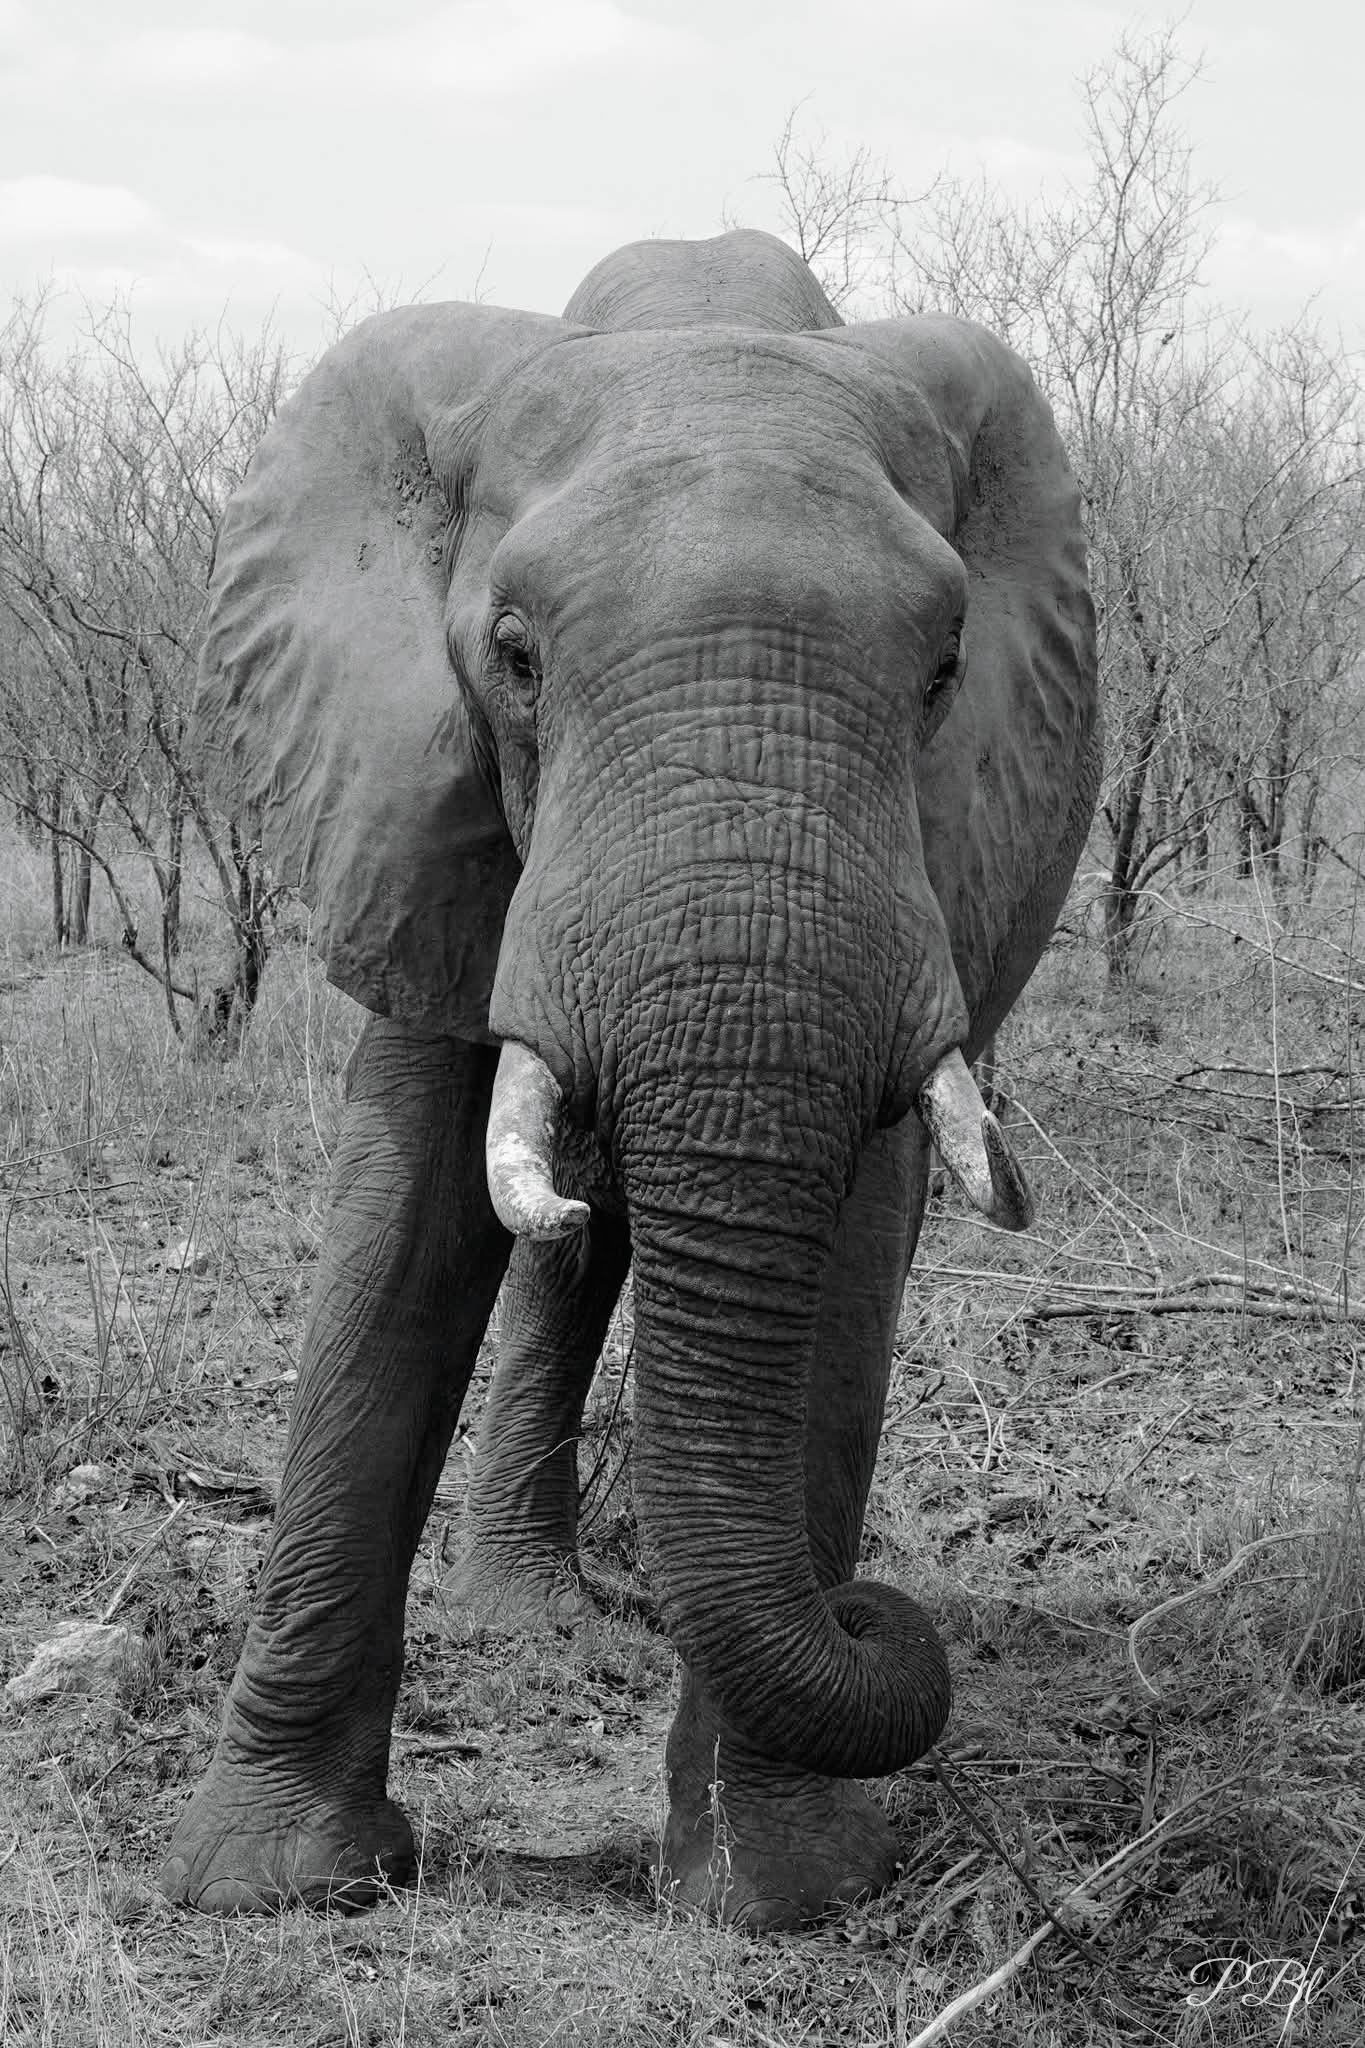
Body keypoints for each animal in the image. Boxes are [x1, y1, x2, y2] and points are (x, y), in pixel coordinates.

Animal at [159, 228, 1099, 1930]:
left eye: (944, 672)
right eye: (517, 659)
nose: (875, 1612)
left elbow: (851, 1242)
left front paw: (772, 1897)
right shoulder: (422, 798)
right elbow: (402, 1222)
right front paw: (269, 1885)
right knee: (556, 1221)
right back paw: (532, 1613)